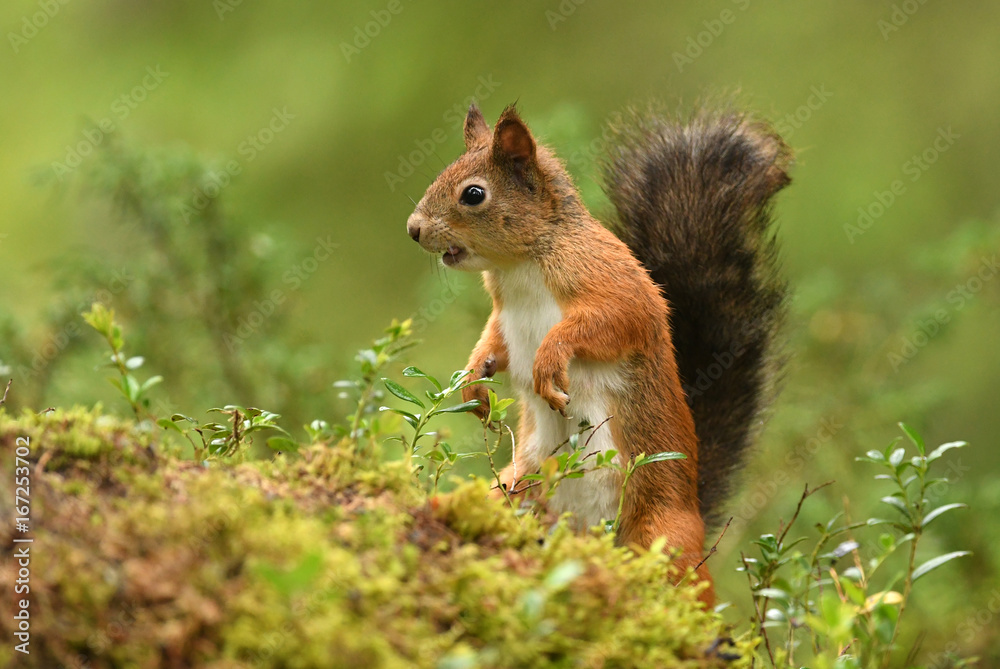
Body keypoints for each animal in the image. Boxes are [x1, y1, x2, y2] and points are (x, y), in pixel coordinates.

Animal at [404, 102, 788, 604]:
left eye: (473, 194)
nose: (413, 230)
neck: (519, 267)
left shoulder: (617, 284)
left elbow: (610, 322)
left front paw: (550, 357)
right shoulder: (503, 317)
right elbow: (493, 343)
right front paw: (473, 381)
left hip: (664, 534)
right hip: (518, 486)